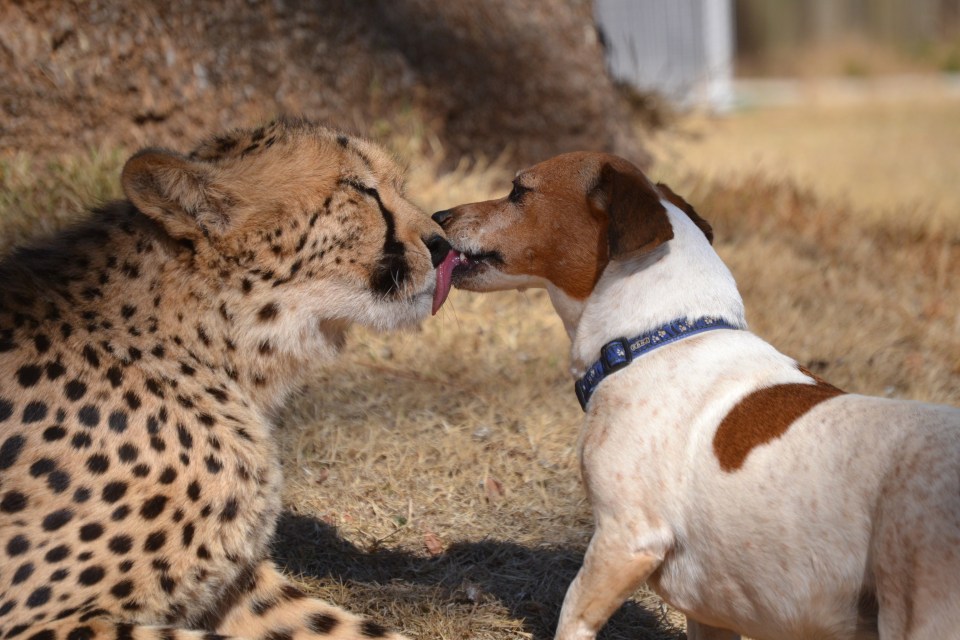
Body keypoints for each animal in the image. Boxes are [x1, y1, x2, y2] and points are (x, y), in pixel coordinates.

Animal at [432, 154, 960, 640]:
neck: (655, 338)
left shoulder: (626, 540)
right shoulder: (710, 612)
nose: (438, 217)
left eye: (518, 191)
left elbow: (572, 616)